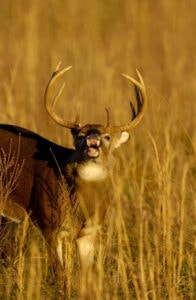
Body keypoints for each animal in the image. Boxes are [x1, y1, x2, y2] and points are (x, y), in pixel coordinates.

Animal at [0, 63, 146, 292]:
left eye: (107, 136)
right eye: (80, 134)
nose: (92, 138)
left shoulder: (89, 232)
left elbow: (86, 276)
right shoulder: (49, 224)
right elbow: (61, 277)